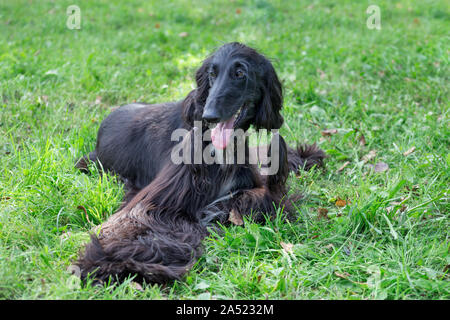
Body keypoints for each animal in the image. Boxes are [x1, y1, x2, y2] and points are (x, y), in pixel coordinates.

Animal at [75, 43, 326, 284]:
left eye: (240, 73)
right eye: (212, 74)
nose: (209, 115)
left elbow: (258, 196)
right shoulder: (152, 203)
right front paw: (115, 263)